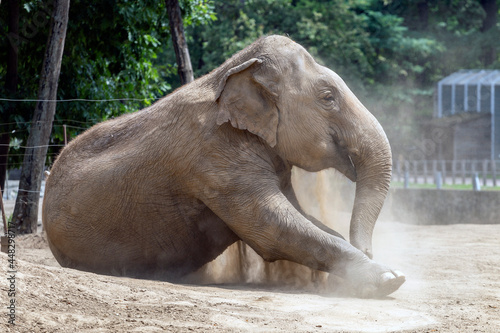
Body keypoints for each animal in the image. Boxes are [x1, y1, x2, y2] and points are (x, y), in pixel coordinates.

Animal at [43, 35, 406, 296]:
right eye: (328, 98)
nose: (369, 249)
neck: (235, 69)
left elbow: (301, 216)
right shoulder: (216, 158)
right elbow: (275, 227)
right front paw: (390, 277)